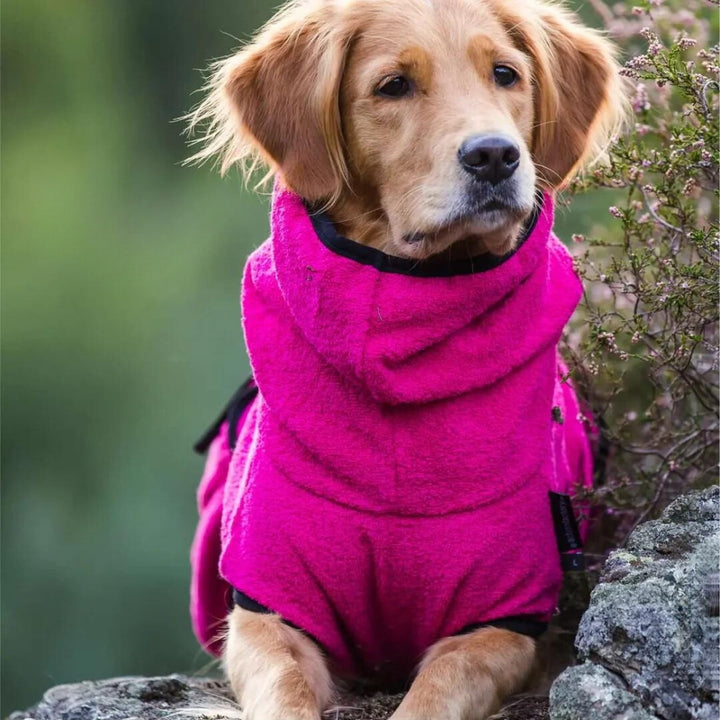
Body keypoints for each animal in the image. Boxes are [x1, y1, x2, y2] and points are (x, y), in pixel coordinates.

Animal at [186, 1, 624, 720]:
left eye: (506, 74)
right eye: (393, 86)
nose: (495, 155)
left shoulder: (505, 620)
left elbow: (436, 689)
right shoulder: (267, 611)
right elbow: (283, 687)